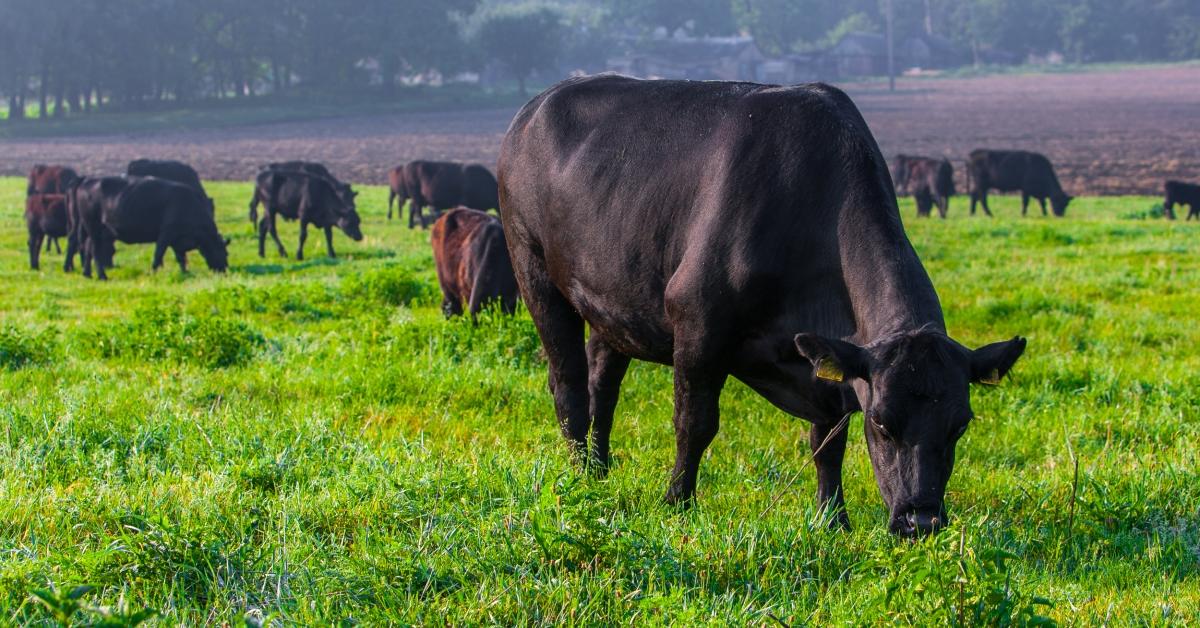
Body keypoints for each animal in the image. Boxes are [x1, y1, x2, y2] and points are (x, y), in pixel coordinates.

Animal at [78, 174, 229, 277]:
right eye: (225, 252)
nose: (225, 270)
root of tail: (88, 181)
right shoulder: (166, 234)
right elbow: (159, 254)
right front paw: (153, 273)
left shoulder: (177, 239)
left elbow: (181, 257)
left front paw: (185, 273)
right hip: (94, 228)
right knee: (96, 251)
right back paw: (102, 276)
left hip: (97, 232)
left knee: (87, 248)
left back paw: (87, 274)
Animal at [501, 73, 1027, 535]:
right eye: (882, 423)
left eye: (960, 425)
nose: (921, 521)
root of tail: (532, 109)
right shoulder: (698, 326)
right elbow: (694, 424)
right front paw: (677, 503)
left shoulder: (826, 359)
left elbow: (827, 441)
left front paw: (833, 519)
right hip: (534, 272)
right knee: (568, 385)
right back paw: (579, 477)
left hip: (613, 300)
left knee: (602, 383)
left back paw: (599, 469)